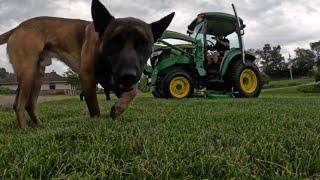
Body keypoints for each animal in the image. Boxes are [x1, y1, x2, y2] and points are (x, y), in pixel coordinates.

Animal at [0, 0, 175, 129]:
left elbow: (133, 92)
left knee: (29, 104)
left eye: (143, 44)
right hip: (28, 73)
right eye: (114, 42)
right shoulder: (88, 77)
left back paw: (40, 126)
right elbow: (94, 107)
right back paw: (25, 129)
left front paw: (118, 108)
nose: (128, 75)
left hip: (38, 74)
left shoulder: (118, 82)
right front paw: (97, 124)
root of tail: (17, 28)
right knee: (19, 104)